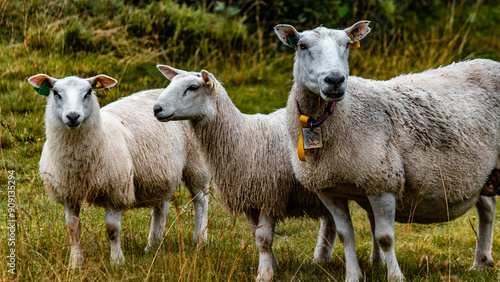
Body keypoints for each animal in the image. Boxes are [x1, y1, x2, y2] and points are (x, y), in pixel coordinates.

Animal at [27, 74, 211, 268]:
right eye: (56, 92)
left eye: (89, 92)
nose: (73, 116)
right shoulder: (69, 194)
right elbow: (72, 228)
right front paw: (76, 262)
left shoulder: (116, 190)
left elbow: (112, 229)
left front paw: (116, 261)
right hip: (159, 173)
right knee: (161, 206)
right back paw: (153, 244)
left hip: (197, 164)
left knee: (201, 200)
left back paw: (200, 240)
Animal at [152, 65, 338, 280]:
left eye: (193, 87)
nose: (156, 109)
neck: (244, 139)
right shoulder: (249, 198)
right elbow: (255, 234)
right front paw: (272, 264)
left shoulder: (269, 195)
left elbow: (263, 238)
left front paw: (265, 274)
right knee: (331, 219)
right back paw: (321, 258)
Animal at [274, 20, 500, 280]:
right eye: (302, 46)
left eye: (347, 45)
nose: (335, 80)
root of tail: (490, 62)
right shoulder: (329, 189)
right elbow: (345, 235)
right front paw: (353, 276)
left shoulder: (382, 182)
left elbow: (385, 238)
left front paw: (395, 276)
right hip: (483, 173)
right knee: (487, 208)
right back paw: (481, 262)